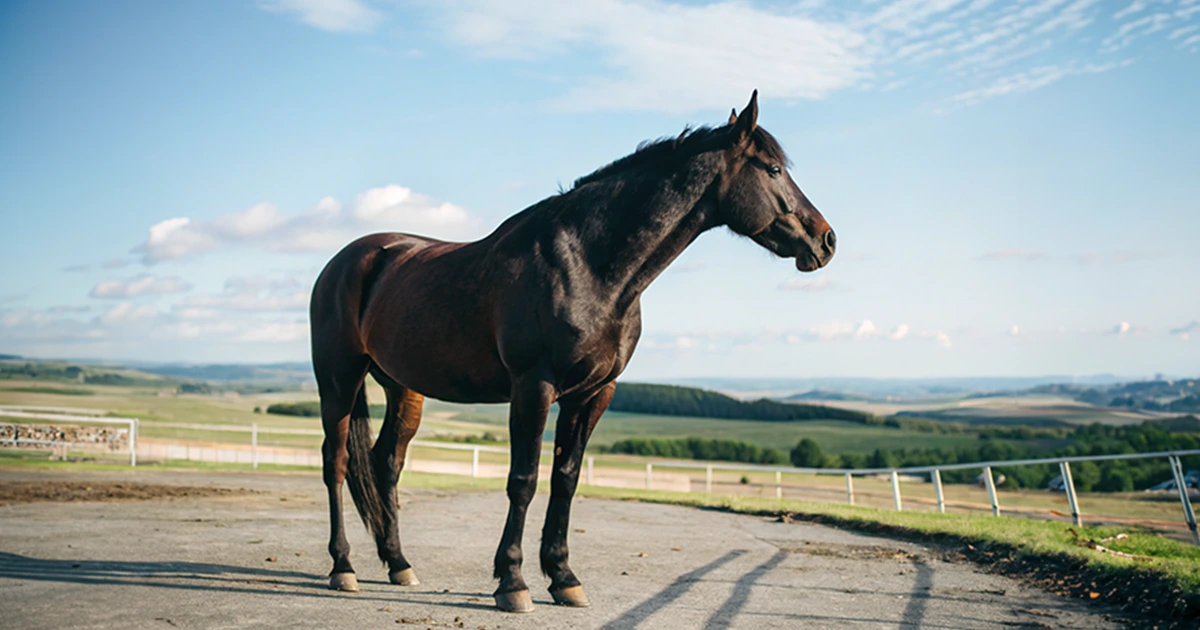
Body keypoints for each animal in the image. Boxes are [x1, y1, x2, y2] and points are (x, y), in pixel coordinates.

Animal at [308, 91, 836, 613]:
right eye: (772, 169)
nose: (825, 239)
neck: (588, 266)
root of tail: (349, 259)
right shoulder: (533, 388)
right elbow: (523, 479)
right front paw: (513, 582)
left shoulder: (595, 393)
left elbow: (566, 478)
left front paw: (563, 577)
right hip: (339, 379)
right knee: (337, 461)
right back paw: (343, 568)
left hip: (404, 388)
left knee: (385, 464)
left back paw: (399, 564)